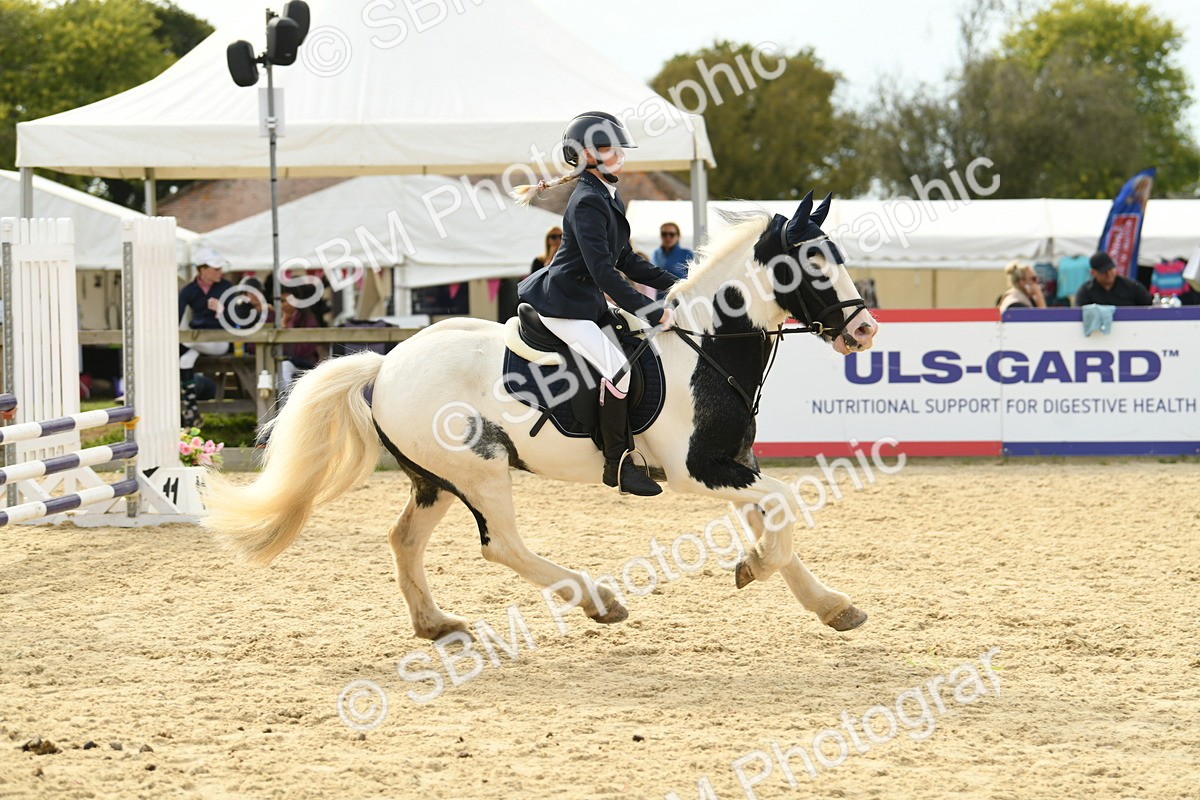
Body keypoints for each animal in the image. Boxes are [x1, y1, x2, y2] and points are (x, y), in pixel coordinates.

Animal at [200, 191, 880, 640]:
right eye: (812, 263)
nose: (865, 331)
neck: (706, 344)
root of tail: (385, 366)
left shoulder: (731, 463)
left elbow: (778, 520)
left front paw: (830, 605)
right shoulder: (698, 471)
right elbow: (783, 511)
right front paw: (754, 567)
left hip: (434, 480)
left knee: (405, 539)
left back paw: (436, 623)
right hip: (480, 470)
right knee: (501, 545)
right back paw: (598, 601)